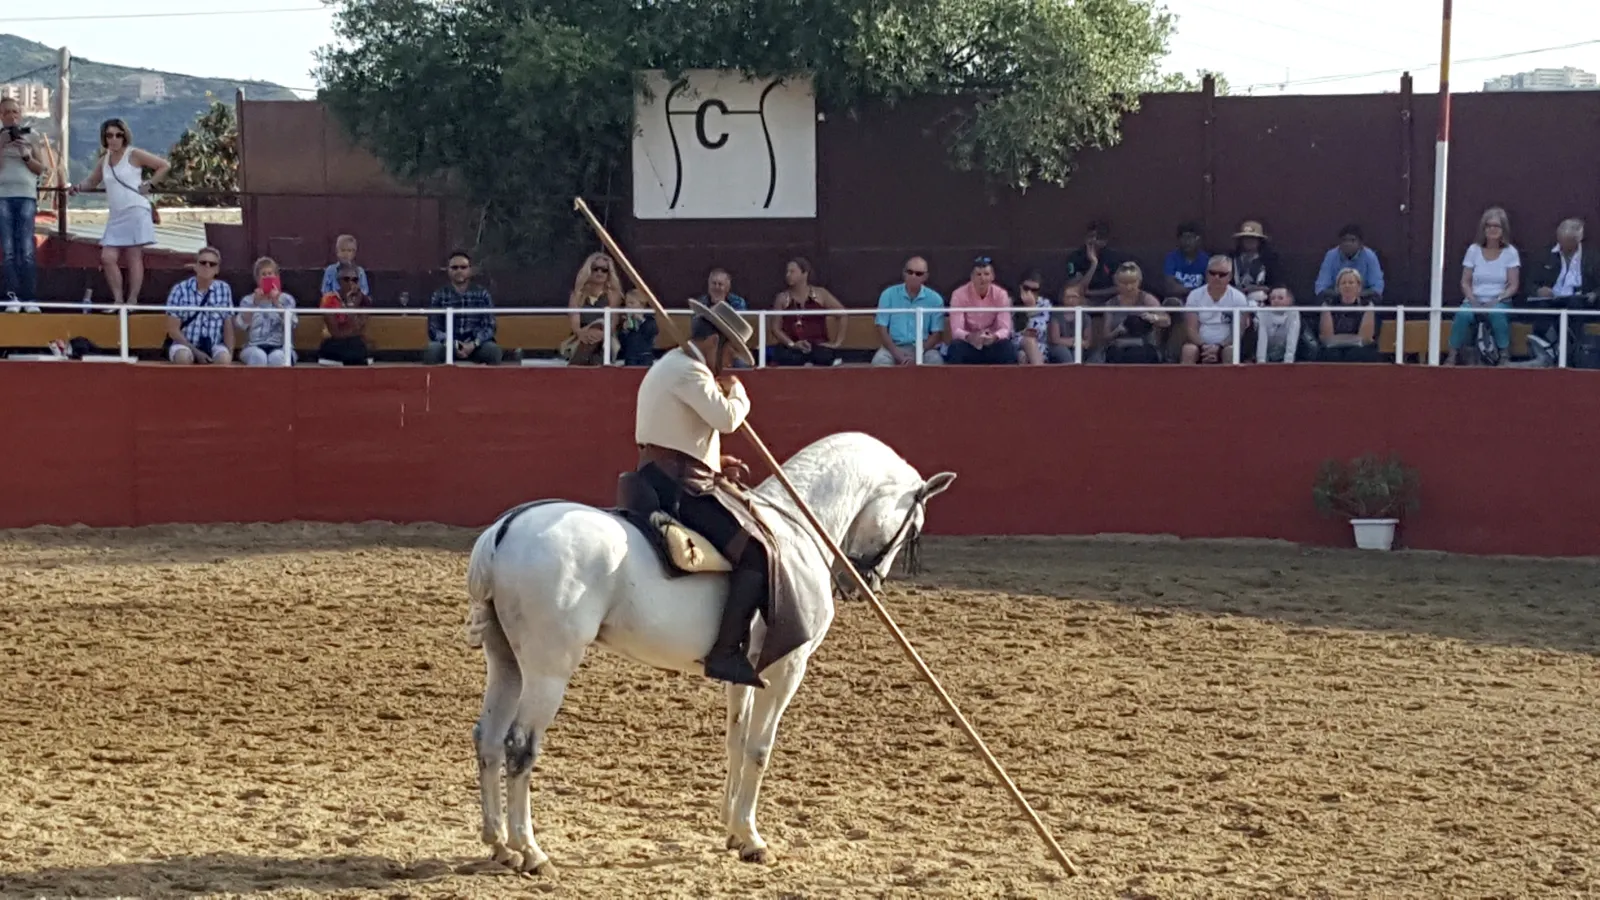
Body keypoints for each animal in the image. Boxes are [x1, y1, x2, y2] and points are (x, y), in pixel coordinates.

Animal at [462, 431, 957, 876]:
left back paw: (499, 845)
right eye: (914, 527)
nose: (866, 584)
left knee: (489, 738)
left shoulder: (746, 672)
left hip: (507, 663)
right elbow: (759, 747)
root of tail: (505, 530)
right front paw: (754, 840)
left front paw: (734, 832)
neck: (797, 531)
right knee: (519, 746)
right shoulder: (787, 669)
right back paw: (531, 852)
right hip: (549, 669)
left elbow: (736, 741)